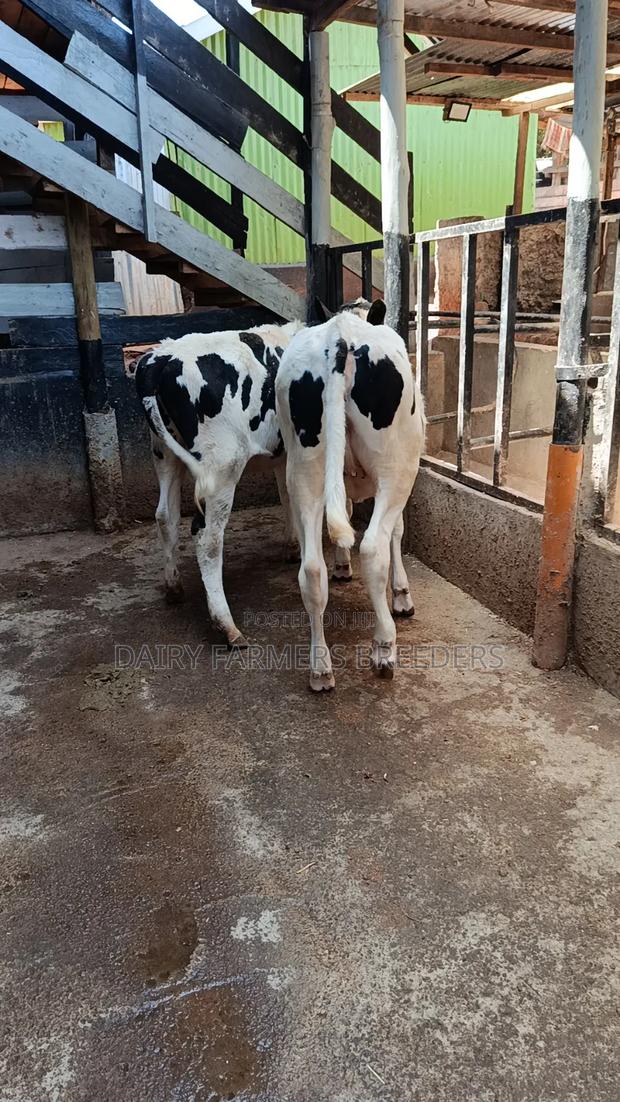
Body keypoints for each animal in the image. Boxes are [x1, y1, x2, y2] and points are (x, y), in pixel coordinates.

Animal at [275, 305, 426, 691]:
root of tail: (340, 334)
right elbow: (397, 533)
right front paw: (402, 596)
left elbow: (341, 513)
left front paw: (342, 565)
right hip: (397, 467)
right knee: (373, 548)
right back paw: (384, 648)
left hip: (303, 469)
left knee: (312, 569)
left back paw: (320, 668)